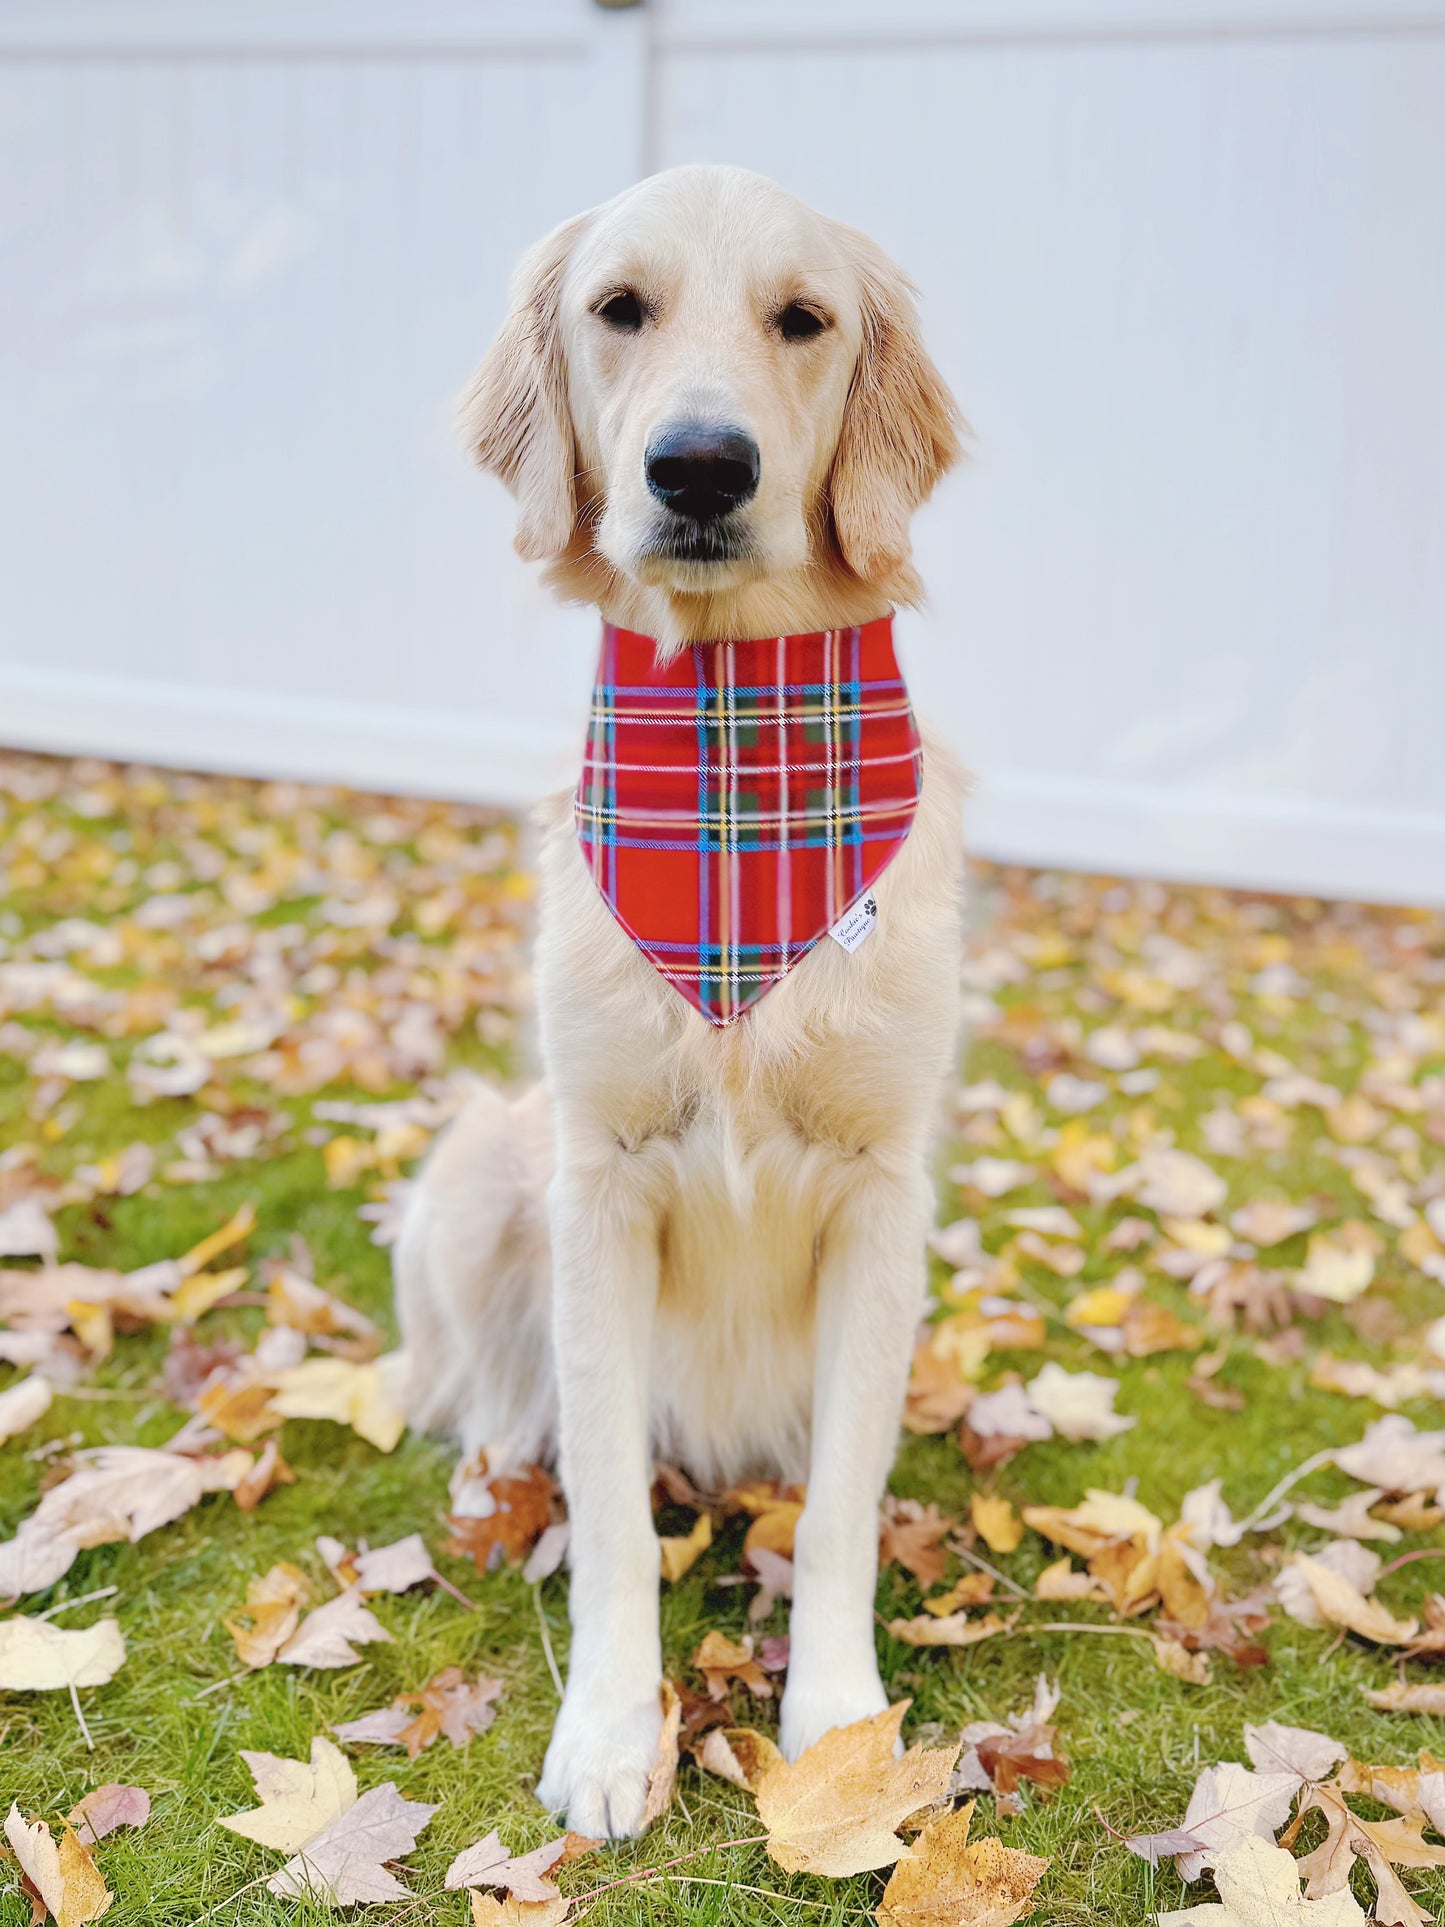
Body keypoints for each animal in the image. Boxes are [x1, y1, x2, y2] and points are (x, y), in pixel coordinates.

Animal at [393, 165, 974, 1834]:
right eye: (619, 309)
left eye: (804, 318)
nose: (701, 466)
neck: (730, 737)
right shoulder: (597, 1178)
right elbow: (603, 1505)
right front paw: (607, 1732)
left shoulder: (882, 1193)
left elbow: (840, 1506)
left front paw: (838, 1730)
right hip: (484, 1158)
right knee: (481, 1390)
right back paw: (492, 1470)